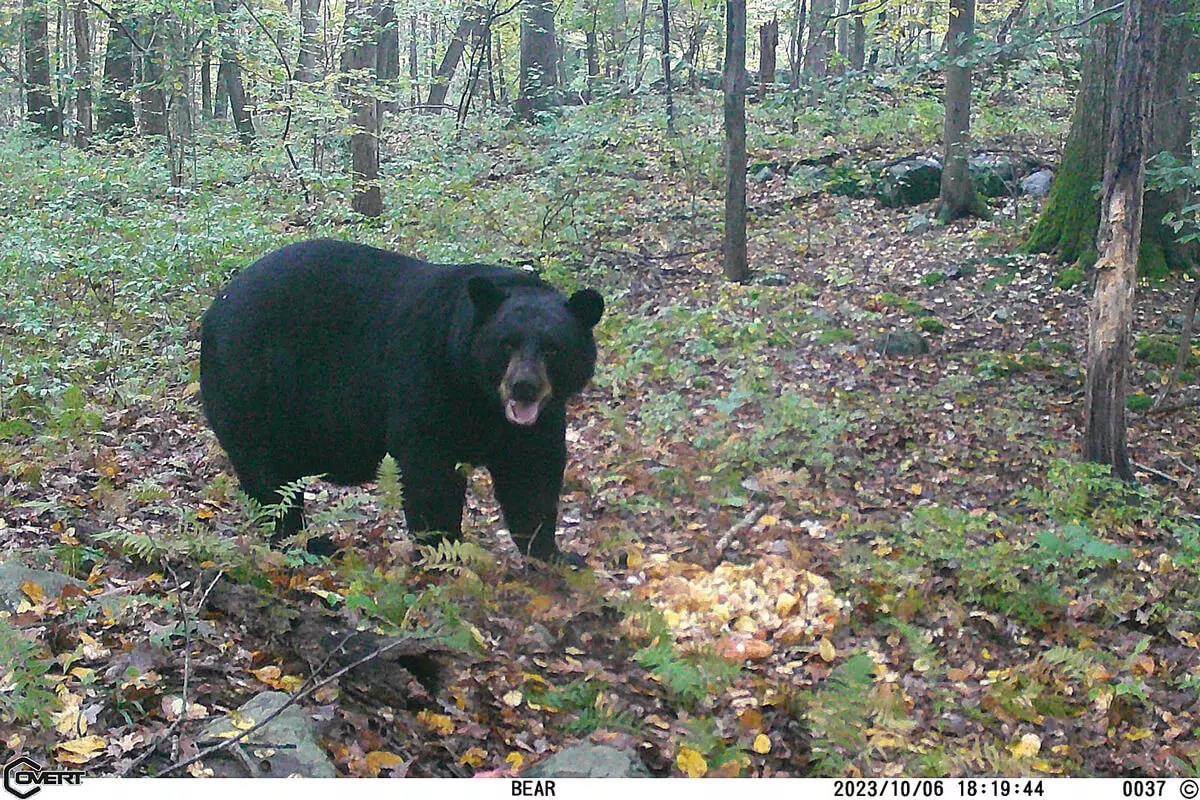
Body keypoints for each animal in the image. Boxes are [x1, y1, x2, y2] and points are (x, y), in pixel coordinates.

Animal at [199, 239, 604, 561]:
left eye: (552, 348)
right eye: (506, 343)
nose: (524, 387)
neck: (479, 395)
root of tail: (214, 312)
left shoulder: (538, 420)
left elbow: (531, 475)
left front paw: (551, 554)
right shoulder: (428, 379)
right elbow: (429, 472)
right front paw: (444, 548)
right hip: (255, 389)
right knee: (269, 478)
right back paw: (311, 544)